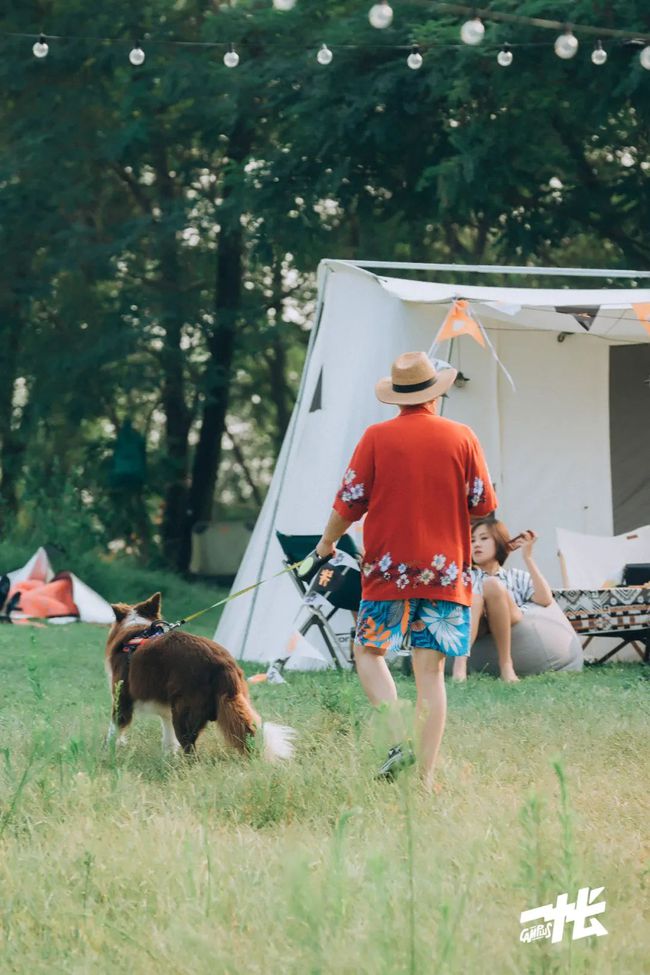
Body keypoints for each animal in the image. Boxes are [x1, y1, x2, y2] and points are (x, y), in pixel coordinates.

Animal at [104, 596, 294, 764]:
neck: (138, 628)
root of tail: (223, 664)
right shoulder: (166, 711)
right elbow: (168, 738)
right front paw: (167, 758)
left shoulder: (122, 698)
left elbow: (114, 730)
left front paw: (106, 754)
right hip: (235, 700)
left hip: (185, 712)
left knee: (191, 752)